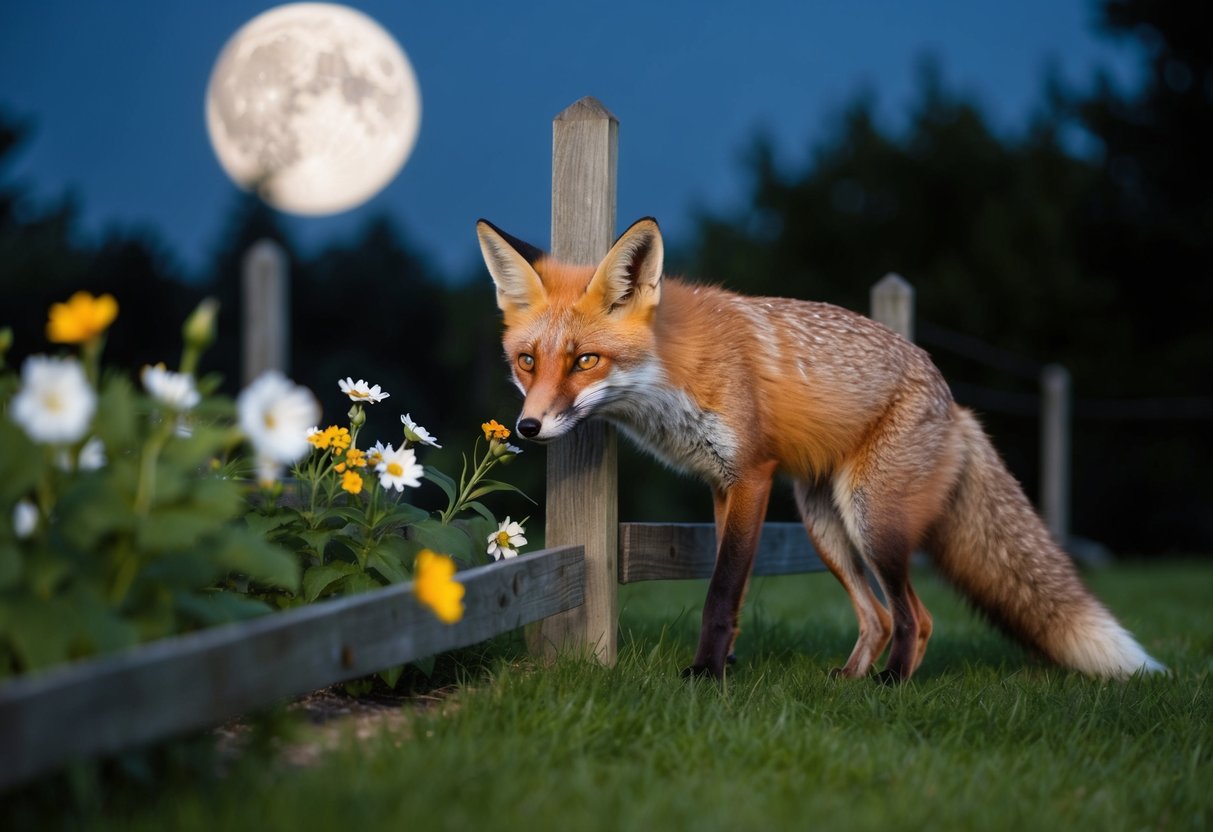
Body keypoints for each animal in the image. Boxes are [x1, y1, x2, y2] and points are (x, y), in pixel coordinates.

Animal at [476, 215, 1166, 683]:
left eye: (586, 361)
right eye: (528, 361)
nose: (527, 428)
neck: (674, 373)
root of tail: (956, 405)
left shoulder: (752, 474)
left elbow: (720, 592)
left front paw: (705, 676)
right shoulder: (723, 485)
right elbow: (733, 588)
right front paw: (725, 664)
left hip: (874, 522)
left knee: (916, 617)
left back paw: (892, 685)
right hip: (824, 524)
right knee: (878, 617)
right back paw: (850, 682)